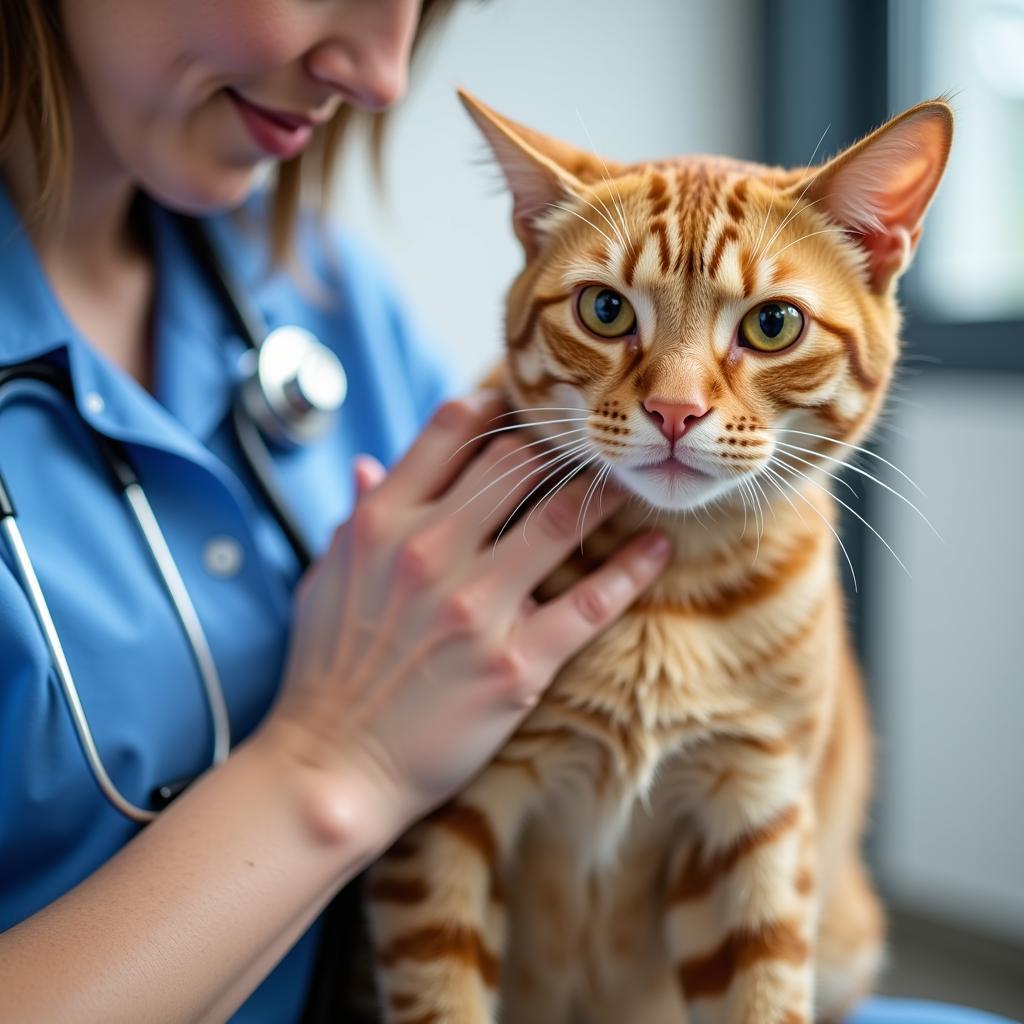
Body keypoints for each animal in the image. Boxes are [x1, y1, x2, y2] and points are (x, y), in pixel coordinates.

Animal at [366, 94, 950, 1024]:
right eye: (605, 310)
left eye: (773, 325)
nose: (675, 411)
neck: (668, 592)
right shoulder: (444, 818)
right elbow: (442, 994)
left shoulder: (754, 815)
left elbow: (766, 998)